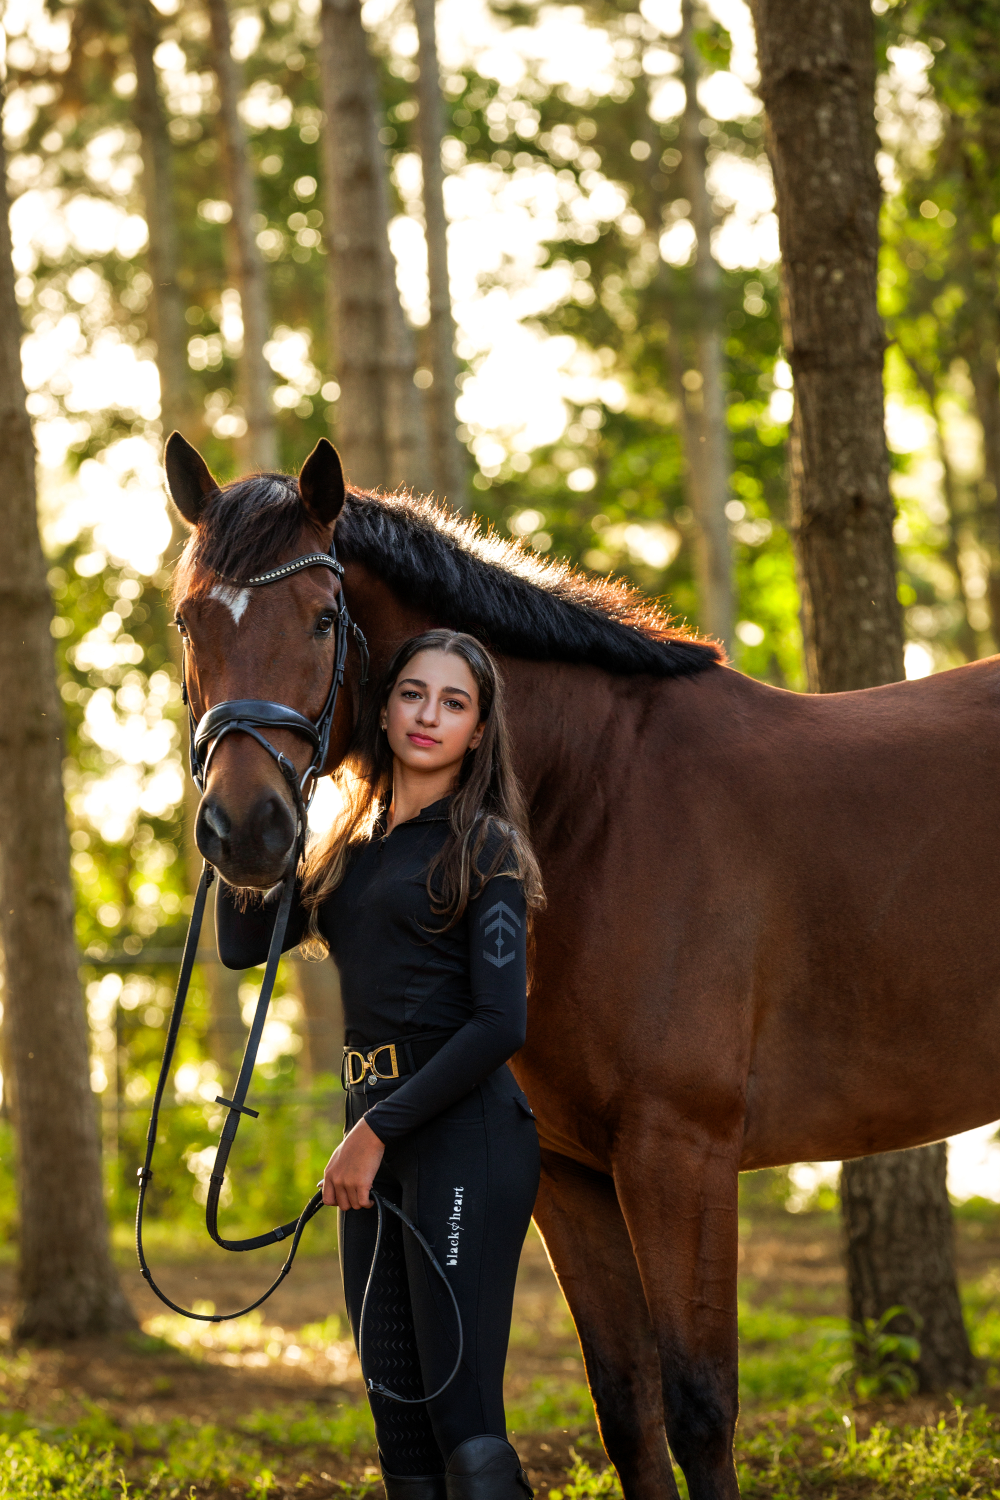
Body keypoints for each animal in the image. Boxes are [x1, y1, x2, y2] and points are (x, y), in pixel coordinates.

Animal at [164, 431, 1000, 1500]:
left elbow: (700, 1408)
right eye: (190, 621)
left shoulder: (679, 1154)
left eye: (320, 619)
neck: (597, 803)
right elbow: (627, 1405)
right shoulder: (570, 1174)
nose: (248, 831)